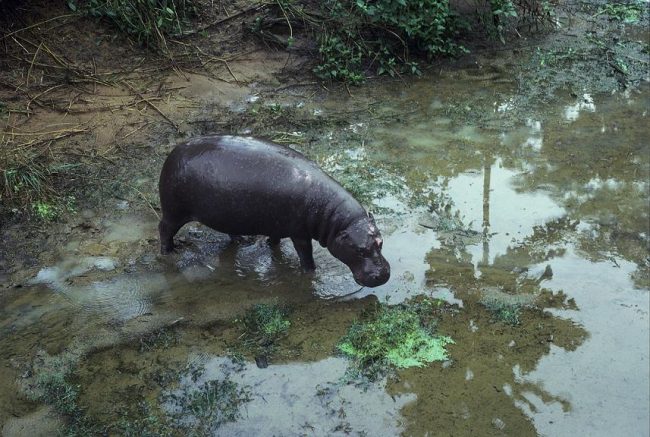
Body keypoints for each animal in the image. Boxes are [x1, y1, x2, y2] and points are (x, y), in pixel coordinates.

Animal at [159, 135, 388, 286]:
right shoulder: (300, 234)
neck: (335, 220)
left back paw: (242, 241)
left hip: (228, 213)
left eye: (381, 242)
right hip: (174, 211)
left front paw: (271, 246)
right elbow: (306, 255)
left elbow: (275, 239)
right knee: (164, 229)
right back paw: (168, 252)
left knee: (230, 230)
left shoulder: (277, 223)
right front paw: (310, 274)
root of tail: (174, 152)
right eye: (359, 250)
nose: (383, 275)